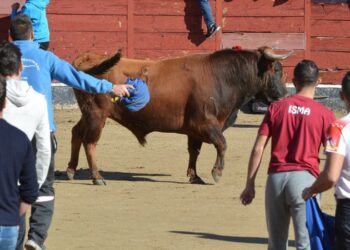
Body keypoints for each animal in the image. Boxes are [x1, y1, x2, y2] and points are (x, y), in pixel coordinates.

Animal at [66, 47, 290, 185]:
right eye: (276, 69)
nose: (284, 95)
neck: (222, 77)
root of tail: (88, 58)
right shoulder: (205, 124)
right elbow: (222, 143)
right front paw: (216, 172)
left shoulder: (194, 130)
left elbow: (194, 151)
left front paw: (194, 176)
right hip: (97, 115)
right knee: (90, 143)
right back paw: (97, 176)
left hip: (88, 114)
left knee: (76, 133)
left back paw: (71, 170)